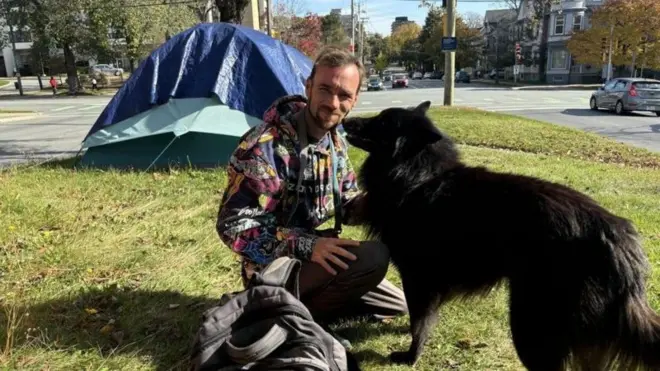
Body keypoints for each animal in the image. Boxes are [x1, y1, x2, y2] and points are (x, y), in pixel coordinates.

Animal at [342, 100, 660, 370]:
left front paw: (410, 356)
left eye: (383, 121)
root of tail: (619, 236)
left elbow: (419, 323)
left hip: (528, 322)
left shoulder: (418, 278)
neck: (418, 177)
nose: (345, 120)